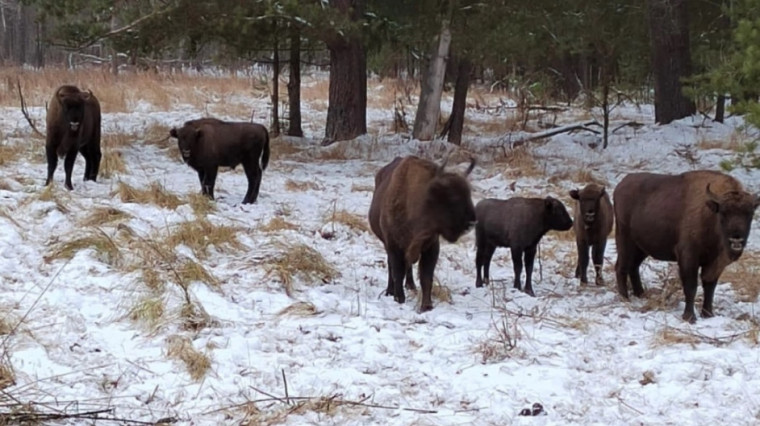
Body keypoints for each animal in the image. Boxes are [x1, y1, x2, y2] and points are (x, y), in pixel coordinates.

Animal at [368, 155, 476, 312]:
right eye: (452, 197)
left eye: (468, 193)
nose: (472, 222)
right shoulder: (394, 246)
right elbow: (397, 272)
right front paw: (399, 298)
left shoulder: (430, 246)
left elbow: (426, 277)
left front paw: (427, 305)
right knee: (392, 266)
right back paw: (390, 290)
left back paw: (410, 285)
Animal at [612, 170, 760, 322]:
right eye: (723, 213)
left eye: (749, 214)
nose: (737, 239)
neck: (710, 215)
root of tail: (621, 184)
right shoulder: (688, 257)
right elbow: (691, 287)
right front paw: (689, 317)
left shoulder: (715, 263)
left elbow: (710, 286)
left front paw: (708, 314)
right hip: (625, 240)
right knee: (621, 267)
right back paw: (625, 298)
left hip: (641, 248)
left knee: (633, 267)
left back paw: (641, 294)